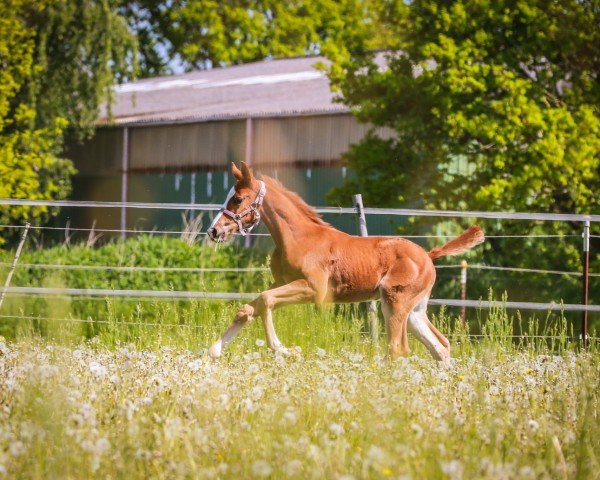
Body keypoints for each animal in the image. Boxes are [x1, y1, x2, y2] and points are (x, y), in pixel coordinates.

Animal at [206, 162, 482, 360]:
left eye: (238, 199)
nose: (214, 231)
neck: (299, 239)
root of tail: (427, 255)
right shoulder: (281, 283)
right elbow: (248, 308)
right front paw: (214, 351)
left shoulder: (315, 290)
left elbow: (265, 300)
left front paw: (283, 349)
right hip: (415, 310)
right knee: (440, 346)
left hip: (395, 301)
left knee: (398, 348)